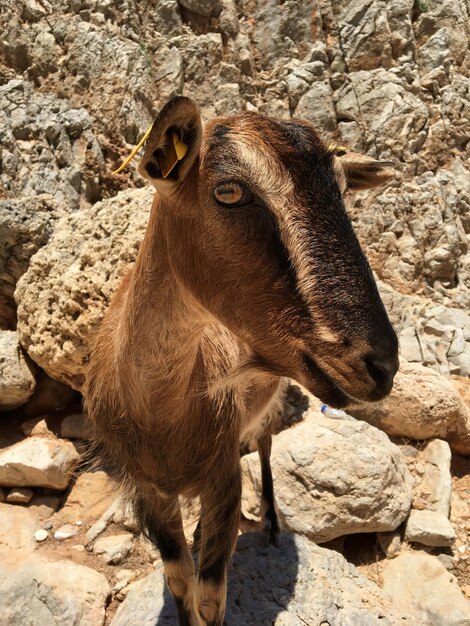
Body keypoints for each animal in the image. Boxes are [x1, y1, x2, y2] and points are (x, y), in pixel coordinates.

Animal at [83, 96, 396, 624]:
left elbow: (211, 596)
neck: (161, 416)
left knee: (266, 442)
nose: (381, 365)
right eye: (228, 191)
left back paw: (270, 521)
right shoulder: (147, 490)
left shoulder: (223, 478)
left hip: (273, 400)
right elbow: (179, 580)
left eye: (342, 189)